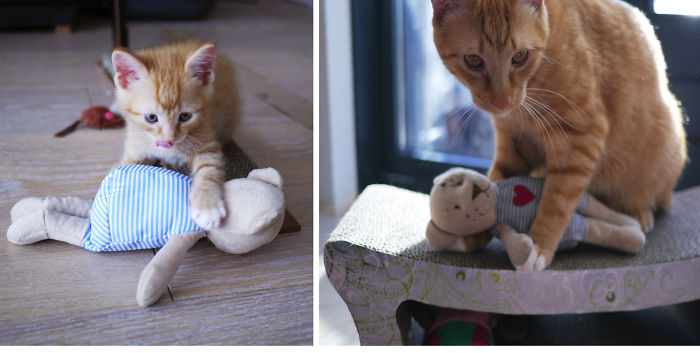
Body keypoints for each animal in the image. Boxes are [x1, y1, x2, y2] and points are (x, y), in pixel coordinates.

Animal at [110, 40, 239, 228]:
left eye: (185, 116)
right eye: (151, 118)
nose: (169, 140)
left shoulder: (208, 142)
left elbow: (209, 168)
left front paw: (207, 206)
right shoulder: (135, 144)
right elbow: (126, 166)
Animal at [430, 0, 688, 268]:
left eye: (520, 56)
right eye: (473, 60)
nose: (502, 101)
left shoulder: (581, 138)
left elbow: (556, 201)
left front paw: (538, 245)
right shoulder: (513, 141)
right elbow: (497, 181)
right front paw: (473, 231)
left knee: (653, 198)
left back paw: (639, 213)